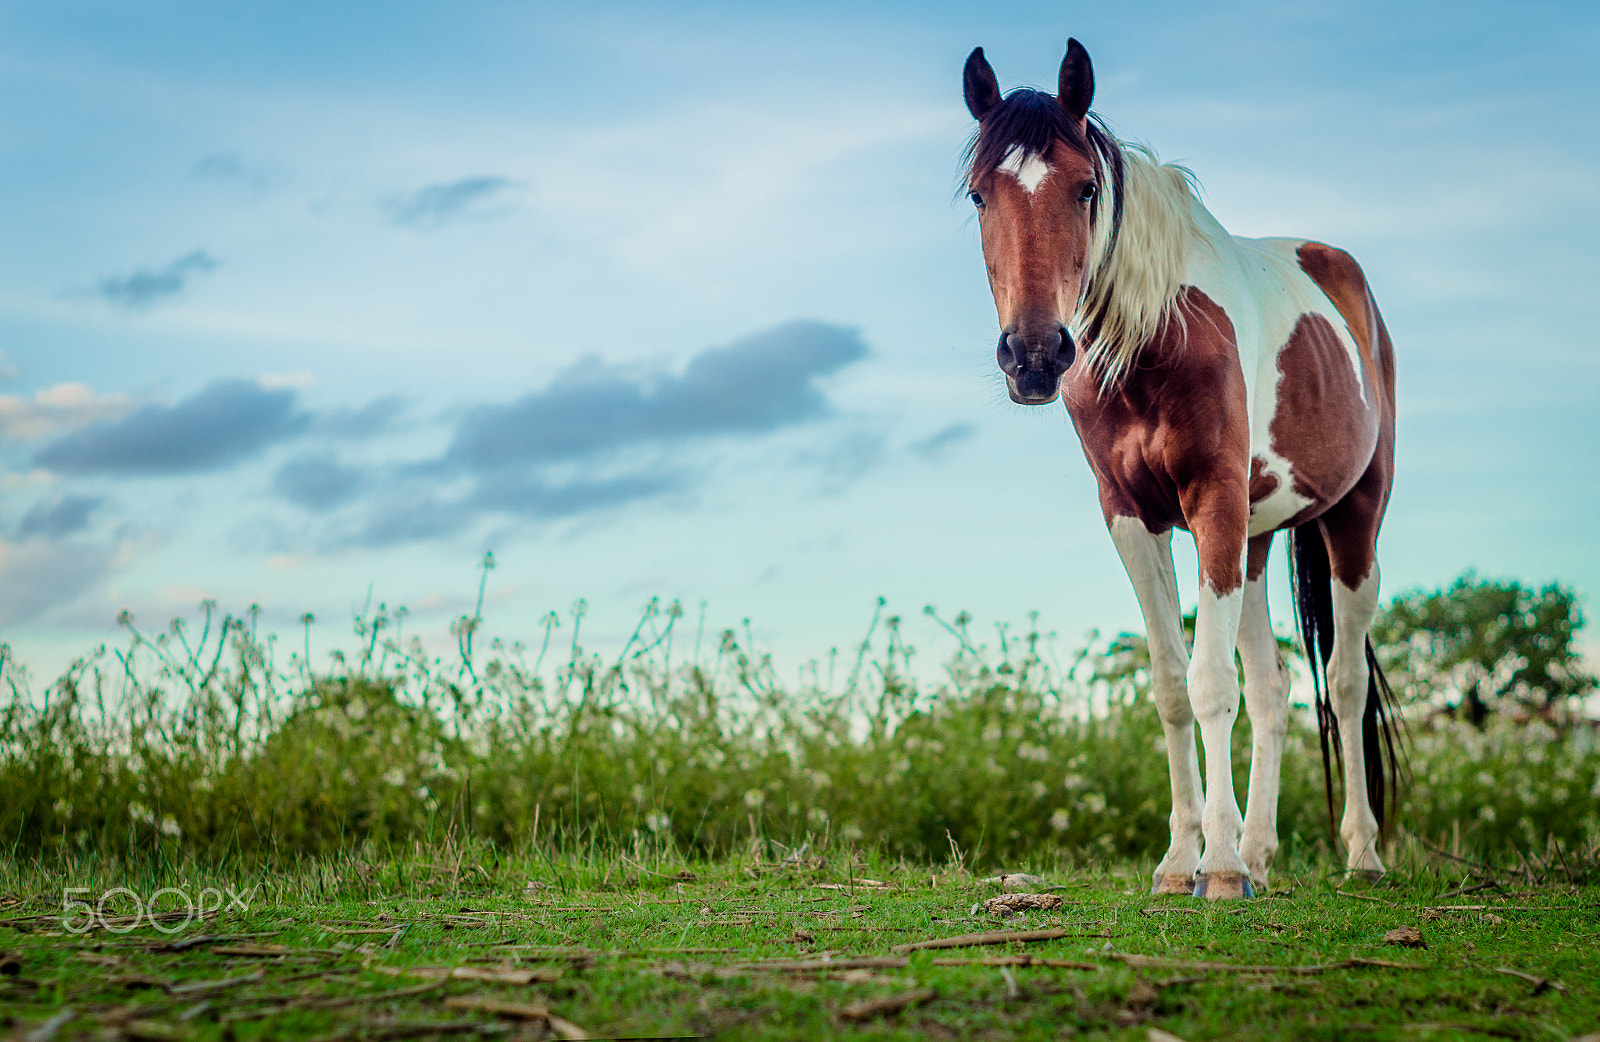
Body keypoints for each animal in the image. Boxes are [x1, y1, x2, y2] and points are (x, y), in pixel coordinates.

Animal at [960, 40, 1401, 902]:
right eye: (978, 195)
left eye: (1086, 187)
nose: (1034, 355)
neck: (1158, 338)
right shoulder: (1132, 515)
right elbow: (1172, 686)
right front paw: (1180, 860)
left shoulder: (1213, 505)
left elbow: (1210, 685)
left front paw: (1218, 866)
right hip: (1258, 540)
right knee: (1274, 688)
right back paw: (1262, 851)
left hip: (1352, 519)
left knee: (1343, 683)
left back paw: (1360, 854)